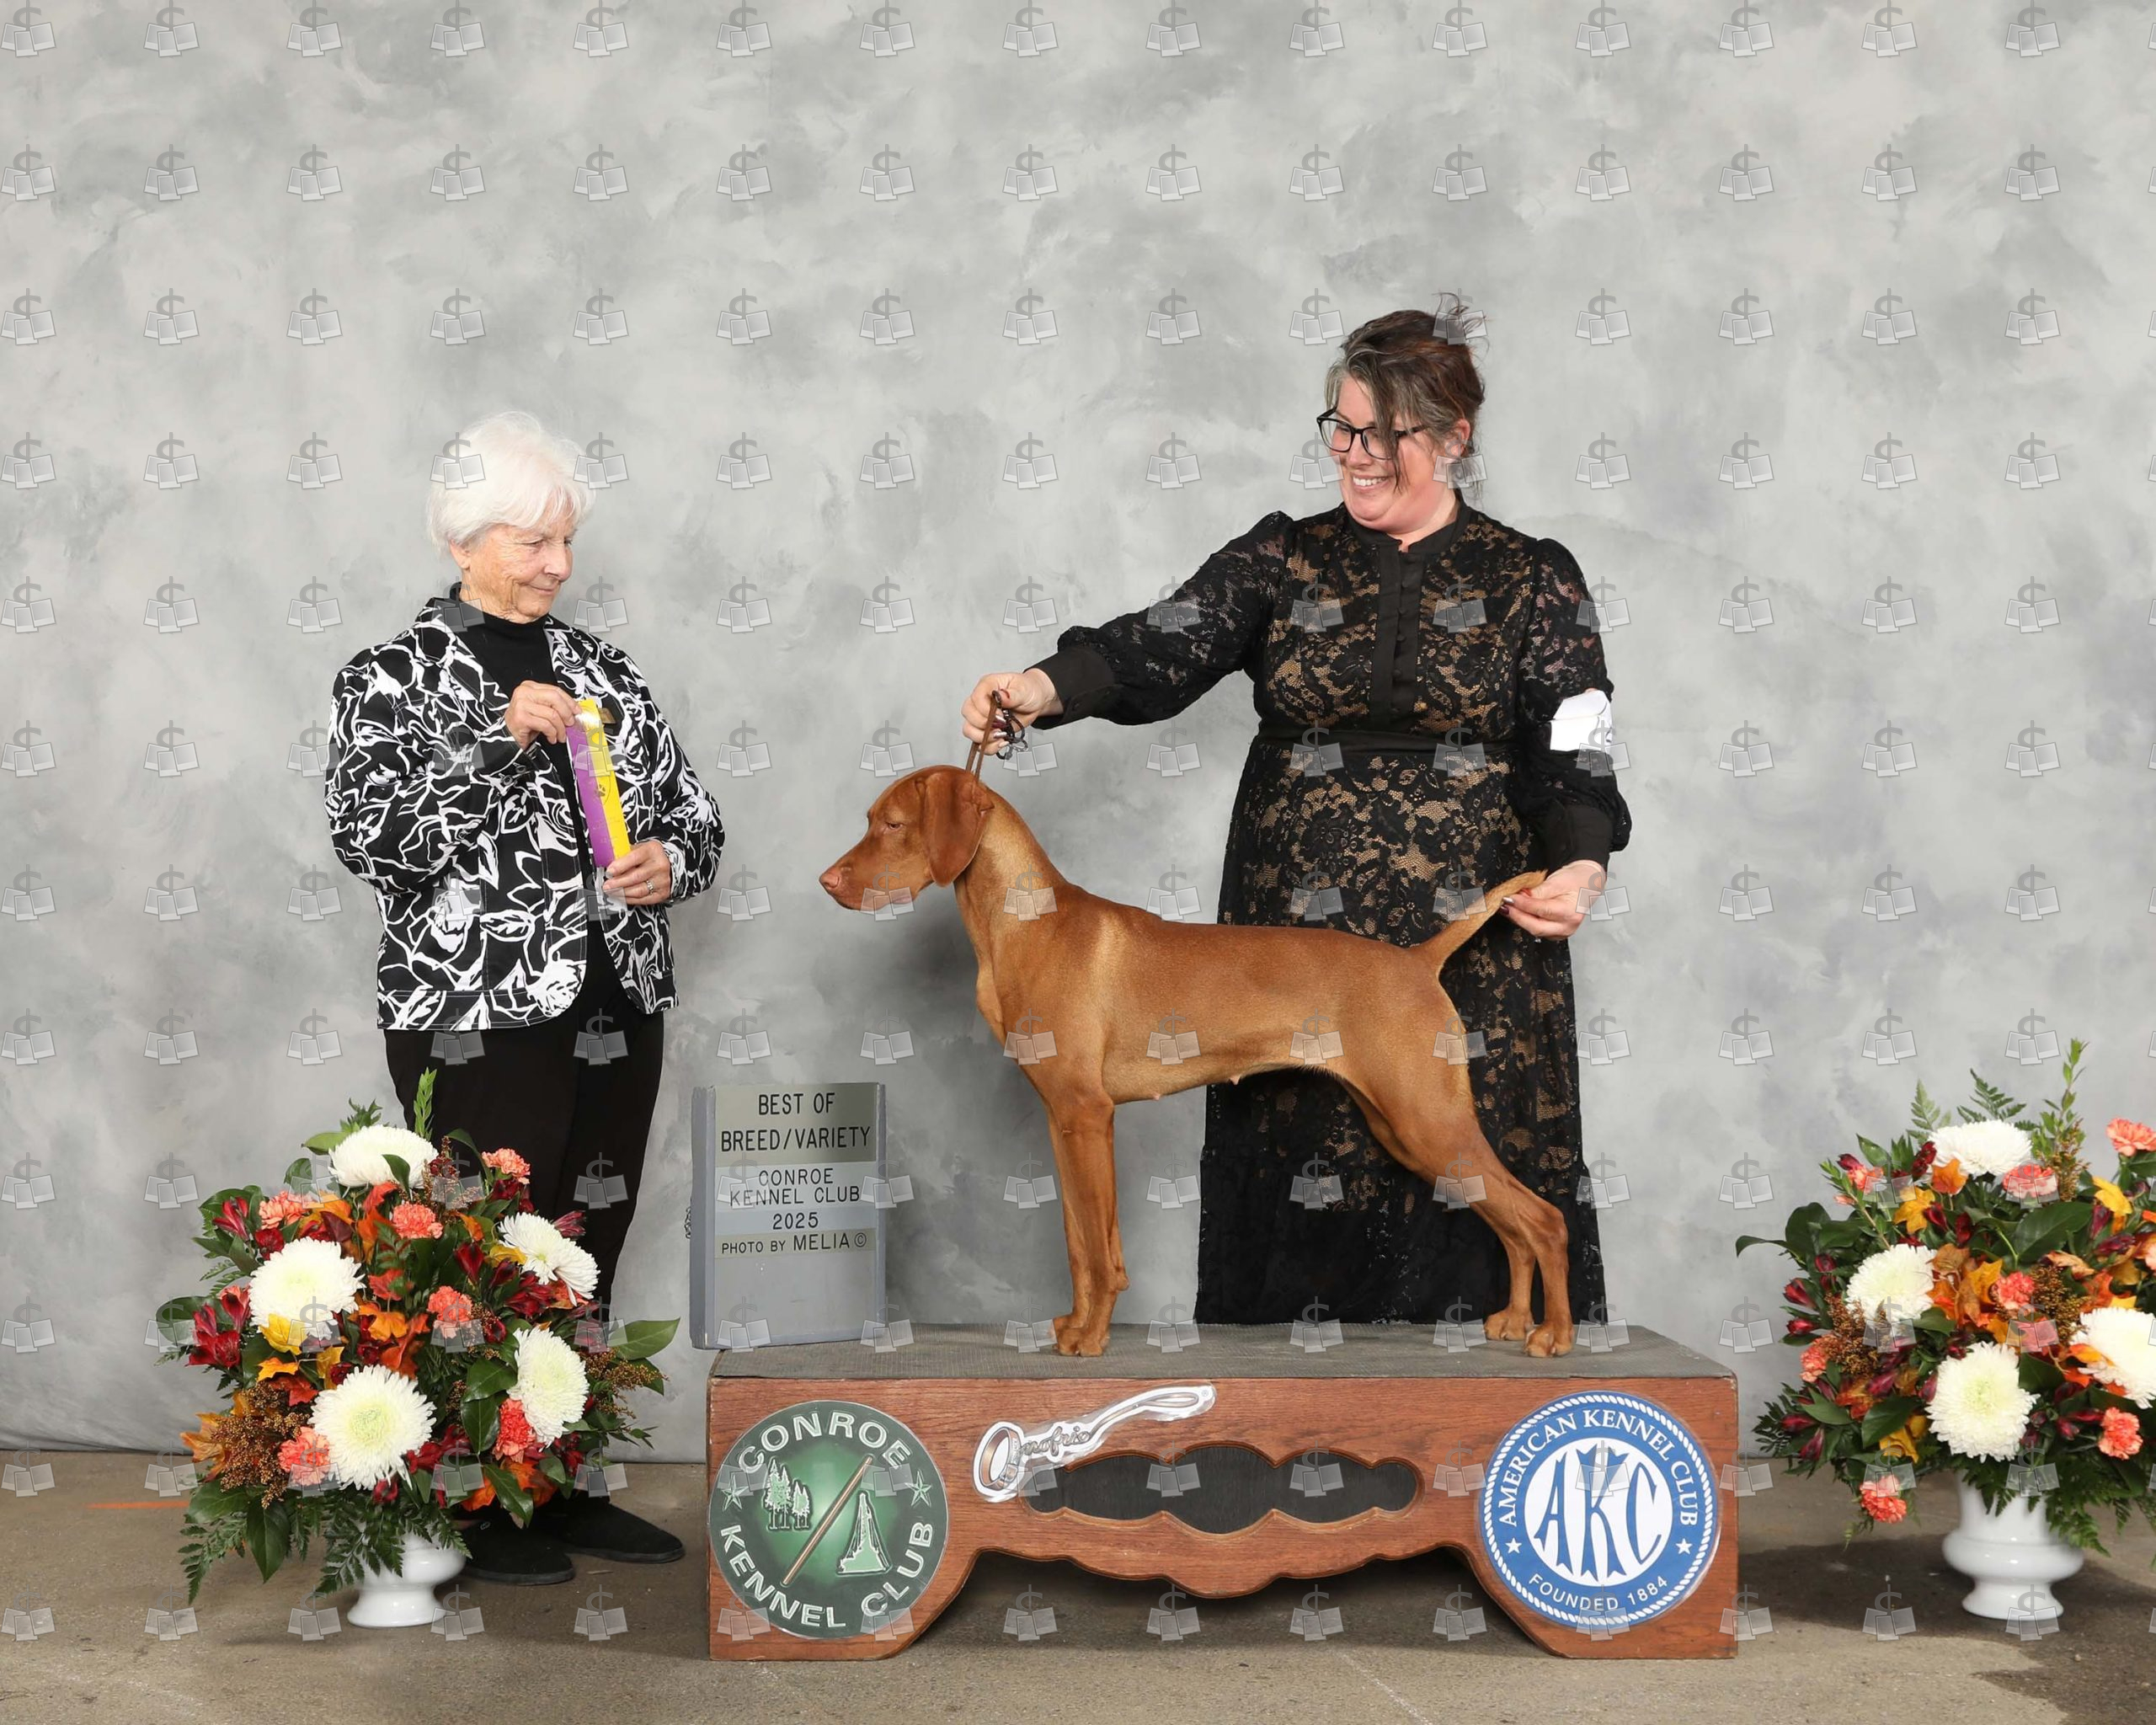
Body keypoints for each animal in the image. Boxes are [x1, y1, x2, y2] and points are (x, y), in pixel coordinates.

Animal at [819, 763, 1572, 1359]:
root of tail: (1418, 960)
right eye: (870, 820)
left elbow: (1100, 1249)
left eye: (891, 824)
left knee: (1543, 1218)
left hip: (1425, 1117)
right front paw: (1073, 1324)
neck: (1027, 922)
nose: (827, 881)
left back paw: (1555, 1334)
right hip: (1406, 1128)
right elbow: (1078, 1240)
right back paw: (1513, 1320)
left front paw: (1091, 1337)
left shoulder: (1088, 1114)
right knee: (1510, 1222)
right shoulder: (1063, 1121)